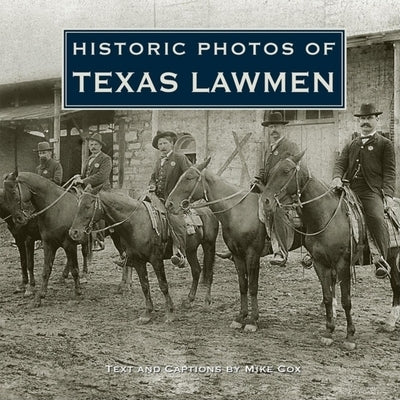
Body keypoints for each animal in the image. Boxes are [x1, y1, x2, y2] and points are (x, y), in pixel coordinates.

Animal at [2, 171, 94, 306]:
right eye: (5, 196)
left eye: (14, 192)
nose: (18, 218)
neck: (56, 209)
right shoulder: (48, 243)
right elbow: (46, 269)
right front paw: (40, 296)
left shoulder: (69, 244)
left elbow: (75, 269)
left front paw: (78, 293)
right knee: (69, 261)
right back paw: (63, 277)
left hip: (81, 241)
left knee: (84, 253)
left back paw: (84, 275)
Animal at [69, 187, 219, 322]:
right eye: (77, 205)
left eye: (87, 206)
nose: (73, 232)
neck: (136, 223)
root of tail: (208, 211)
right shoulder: (137, 261)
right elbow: (145, 285)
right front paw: (147, 313)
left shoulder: (156, 260)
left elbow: (163, 285)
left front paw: (170, 313)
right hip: (191, 250)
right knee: (196, 271)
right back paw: (189, 300)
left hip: (209, 246)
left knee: (210, 274)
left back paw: (207, 302)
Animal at [260, 152, 398, 348]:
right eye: (271, 171)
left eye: (286, 171)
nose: (265, 201)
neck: (327, 216)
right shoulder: (321, 263)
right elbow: (327, 296)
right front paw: (329, 331)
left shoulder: (343, 264)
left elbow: (346, 300)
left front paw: (349, 336)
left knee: (396, 285)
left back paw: (390, 322)